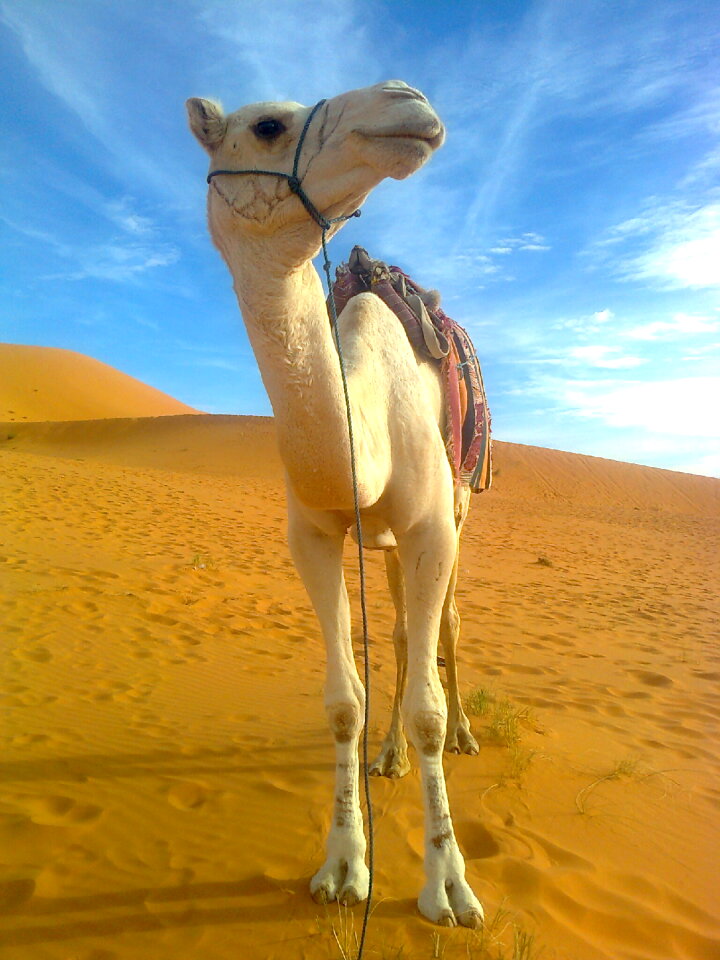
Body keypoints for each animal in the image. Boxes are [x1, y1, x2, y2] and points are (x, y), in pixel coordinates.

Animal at [187, 82, 484, 928]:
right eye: (267, 125)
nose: (408, 100)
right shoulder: (313, 537)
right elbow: (343, 702)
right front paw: (346, 867)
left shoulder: (430, 529)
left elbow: (428, 706)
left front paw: (448, 886)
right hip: (380, 547)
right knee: (400, 632)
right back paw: (387, 758)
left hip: (459, 512)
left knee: (445, 624)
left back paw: (467, 737)